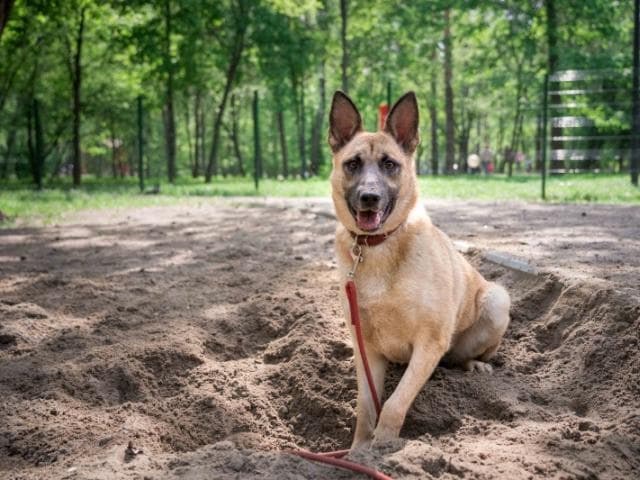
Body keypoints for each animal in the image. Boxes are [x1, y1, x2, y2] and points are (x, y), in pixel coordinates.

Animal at [330, 91, 510, 450]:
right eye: (352, 164)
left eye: (390, 164)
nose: (369, 197)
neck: (378, 247)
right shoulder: (366, 347)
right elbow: (366, 406)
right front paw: (359, 450)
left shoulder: (429, 341)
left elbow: (394, 404)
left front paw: (383, 448)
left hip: (497, 301)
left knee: (459, 357)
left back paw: (475, 365)